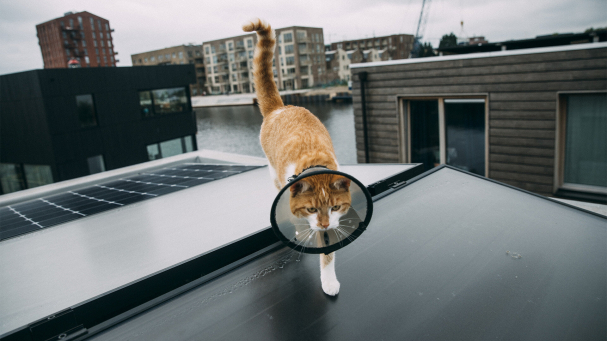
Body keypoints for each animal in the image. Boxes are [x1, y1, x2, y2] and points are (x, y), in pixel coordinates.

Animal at [241, 19, 346, 294]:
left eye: (335, 207)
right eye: (311, 208)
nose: (325, 224)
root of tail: (281, 107)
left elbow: (329, 253)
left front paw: (329, 279)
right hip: (273, 172)